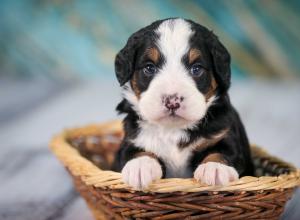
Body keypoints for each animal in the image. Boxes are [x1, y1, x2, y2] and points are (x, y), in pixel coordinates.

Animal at [112, 18, 253, 189]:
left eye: (196, 69)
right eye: (149, 68)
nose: (172, 101)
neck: (173, 130)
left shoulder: (225, 134)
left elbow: (222, 152)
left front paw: (215, 168)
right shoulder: (132, 139)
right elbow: (137, 152)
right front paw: (140, 166)